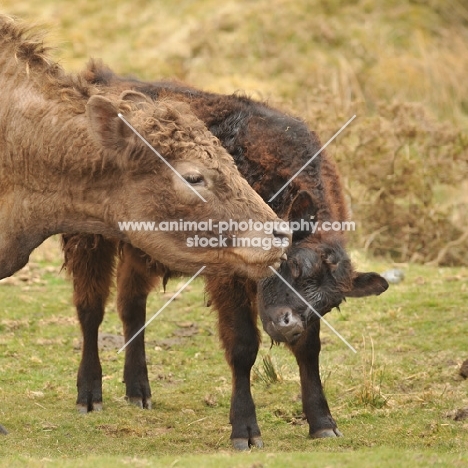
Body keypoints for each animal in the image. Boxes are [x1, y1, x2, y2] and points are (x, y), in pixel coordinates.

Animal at [59, 60, 388, 448]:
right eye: (291, 266)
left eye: (331, 303)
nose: (289, 324)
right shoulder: (228, 279)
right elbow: (243, 347)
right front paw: (245, 428)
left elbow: (310, 350)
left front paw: (322, 421)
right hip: (87, 239)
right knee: (91, 309)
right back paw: (89, 393)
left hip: (141, 253)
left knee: (131, 307)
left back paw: (138, 389)